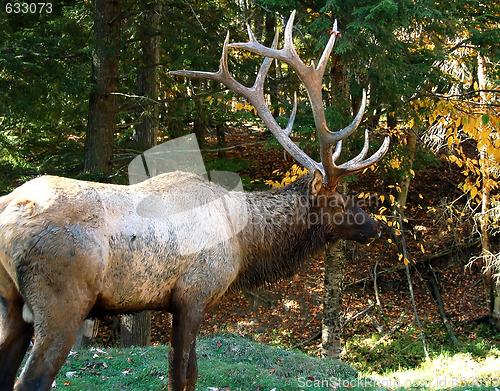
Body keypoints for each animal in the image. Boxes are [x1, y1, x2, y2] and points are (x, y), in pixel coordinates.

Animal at [0, 10, 390, 391]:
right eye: (338, 201)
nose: (375, 226)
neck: (245, 242)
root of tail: (9, 211)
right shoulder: (194, 296)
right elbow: (183, 375)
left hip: (12, 304)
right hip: (61, 301)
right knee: (32, 378)